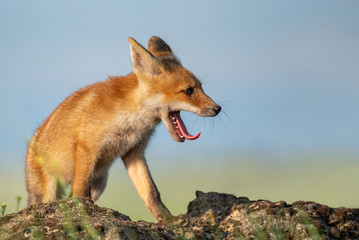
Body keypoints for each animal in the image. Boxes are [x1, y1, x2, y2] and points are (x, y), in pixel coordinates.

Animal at [25, 36, 221, 223]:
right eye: (188, 91)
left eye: (201, 87)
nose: (218, 108)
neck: (132, 123)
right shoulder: (87, 147)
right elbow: (80, 190)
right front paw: (83, 212)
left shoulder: (134, 151)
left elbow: (151, 192)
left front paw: (168, 219)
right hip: (48, 190)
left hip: (100, 183)